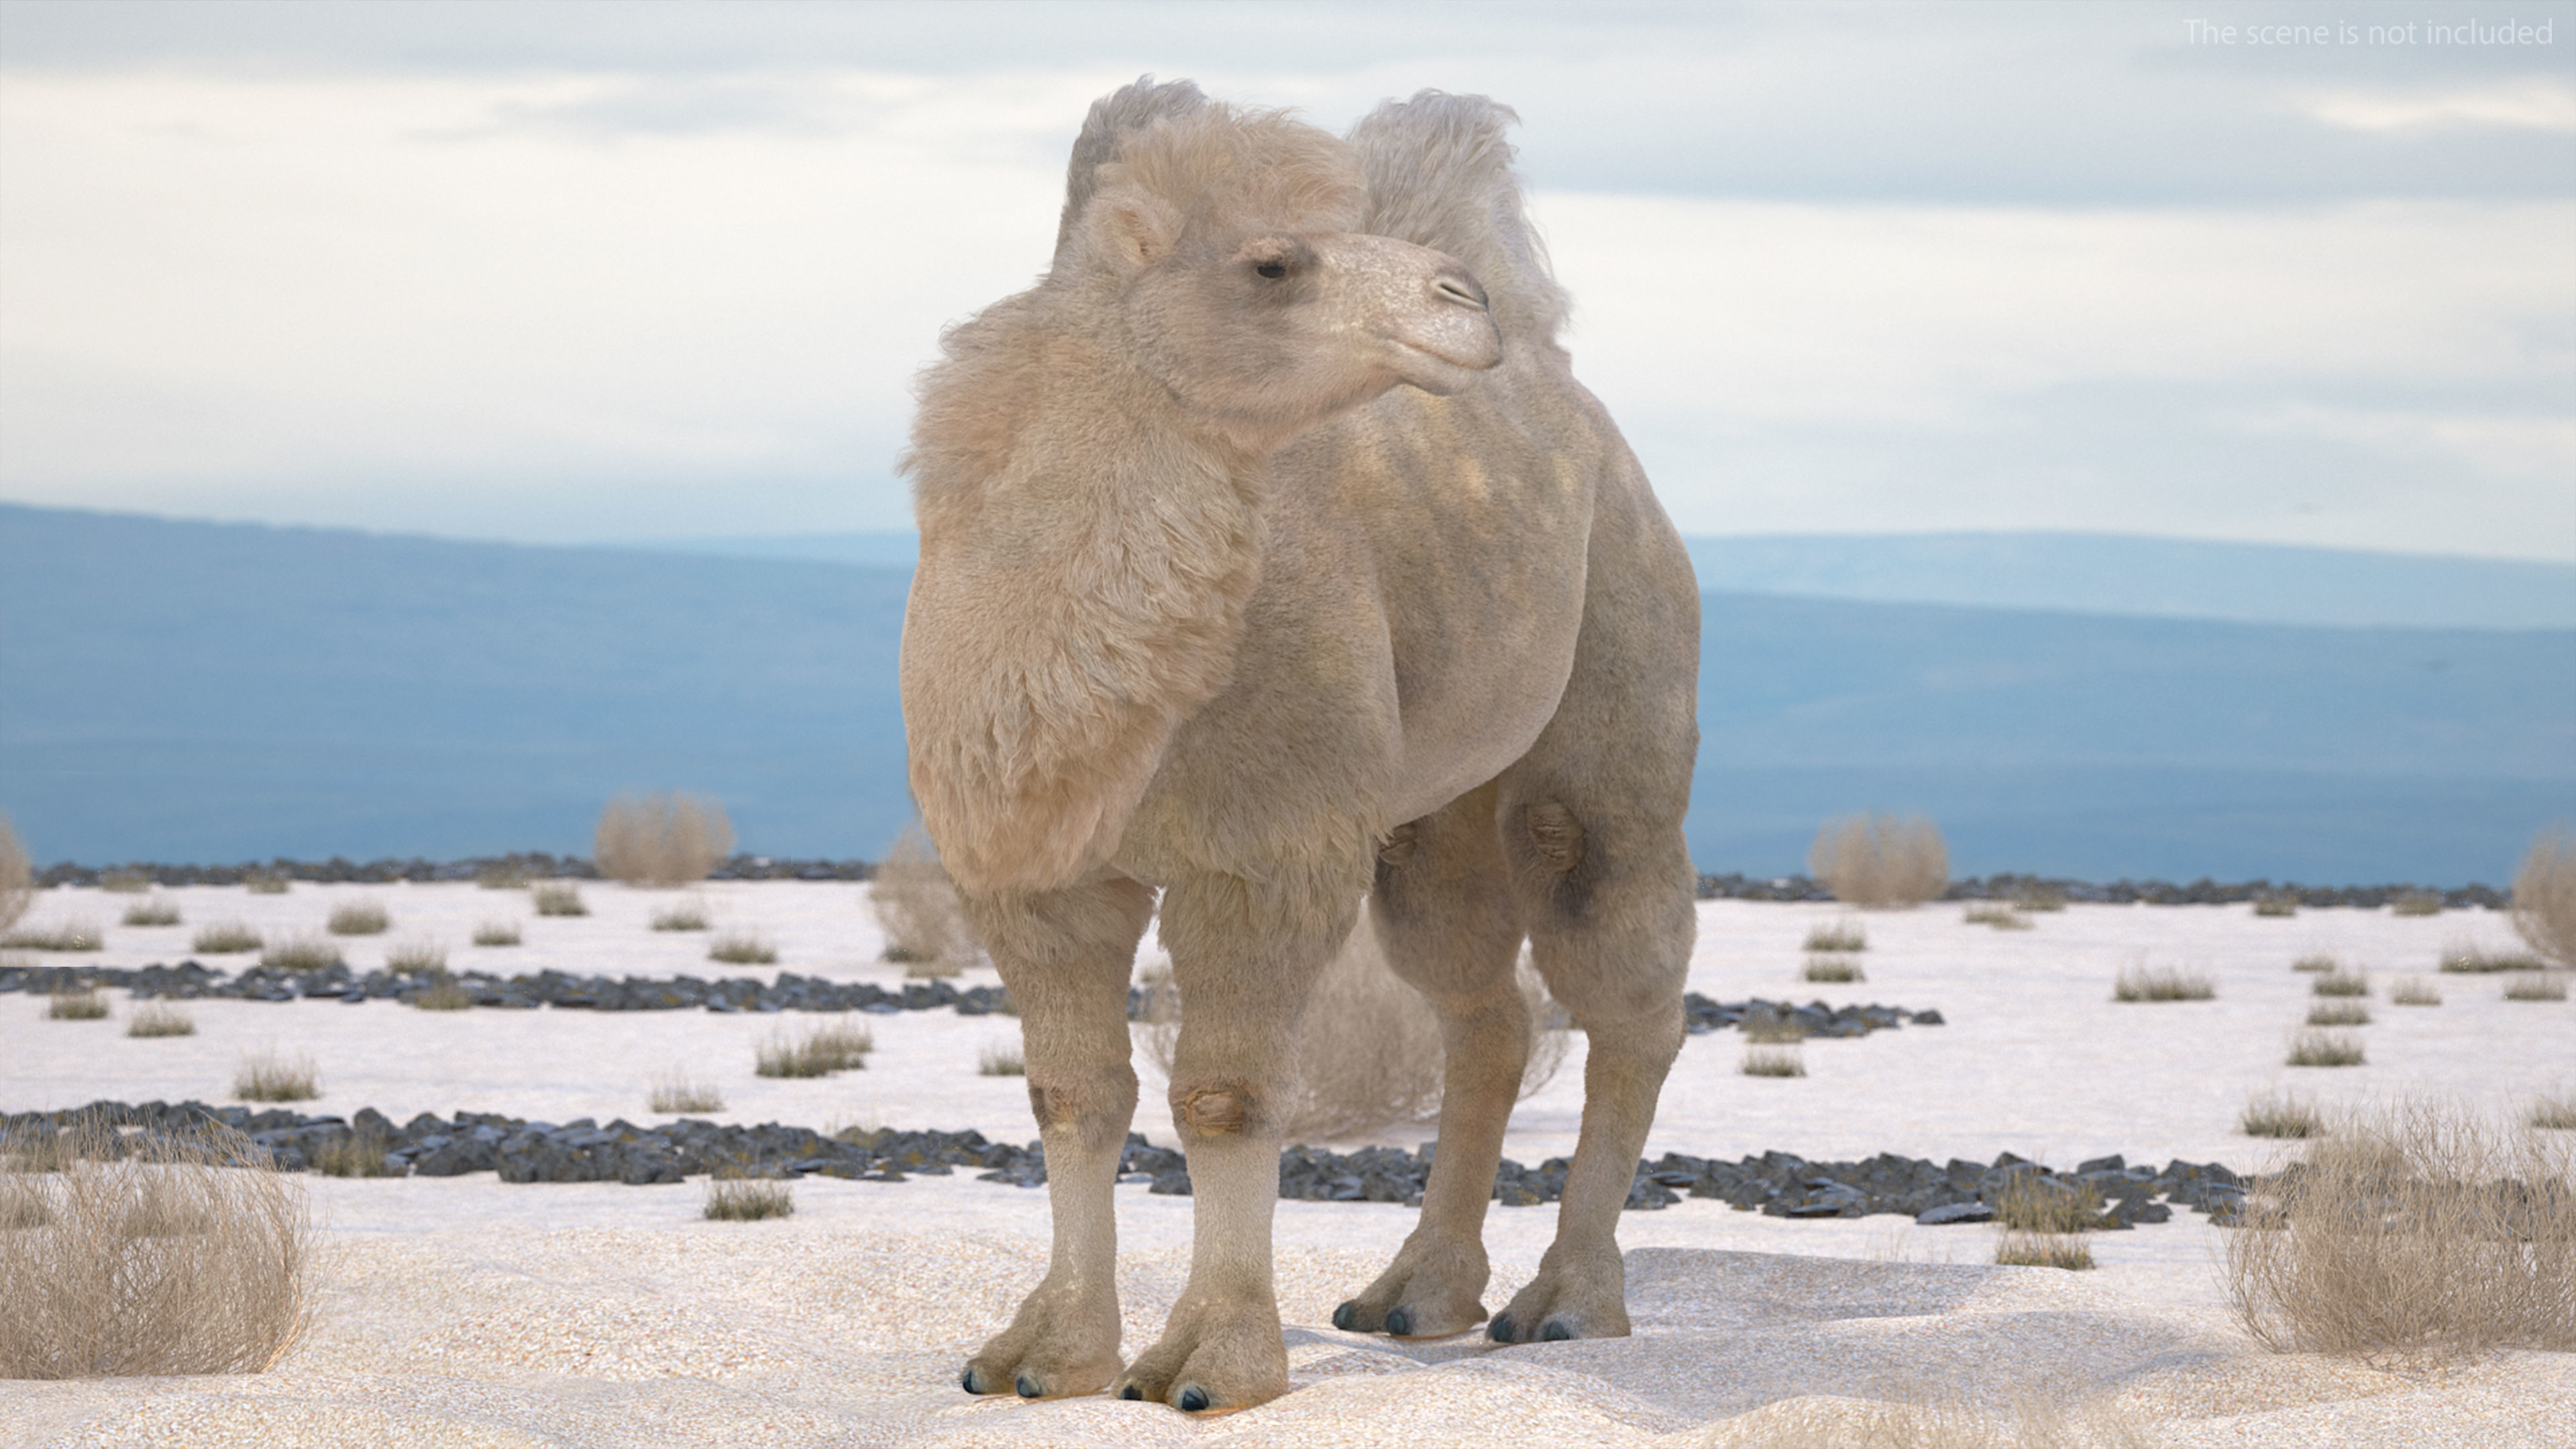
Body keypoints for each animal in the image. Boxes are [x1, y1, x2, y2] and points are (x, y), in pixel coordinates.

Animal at [899, 78, 1700, 1413]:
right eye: (1272, 262)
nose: (1463, 302)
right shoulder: (1036, 877)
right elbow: (1073, 1095)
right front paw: (1043, 1355)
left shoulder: (1258, 850)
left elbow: (1222, 1096)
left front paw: (1210, 1364)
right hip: (1428, 811)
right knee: (1480, 1008)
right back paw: (1414, 1295)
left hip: (1618, 683)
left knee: (1622, 977)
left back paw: (1568, 1304)